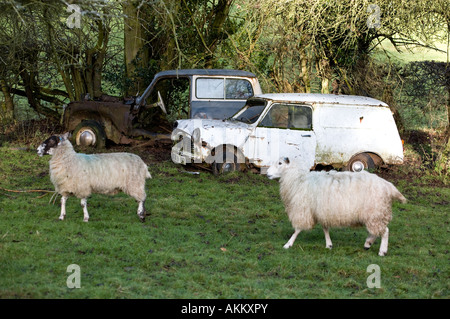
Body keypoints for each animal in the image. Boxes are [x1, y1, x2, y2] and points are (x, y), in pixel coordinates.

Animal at [268, 158, 408, 258]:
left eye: (279, 163)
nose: (267, 173)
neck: (297, 180)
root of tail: (388, 186)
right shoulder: (322, 210)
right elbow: (325, 228)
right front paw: (329, 244)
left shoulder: (303, 210)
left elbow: (297, 229)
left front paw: (288, 244)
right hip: (373, 214)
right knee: (376, 231)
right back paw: (367, 243)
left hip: (376, 212)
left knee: (385, 231)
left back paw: (382, 251)